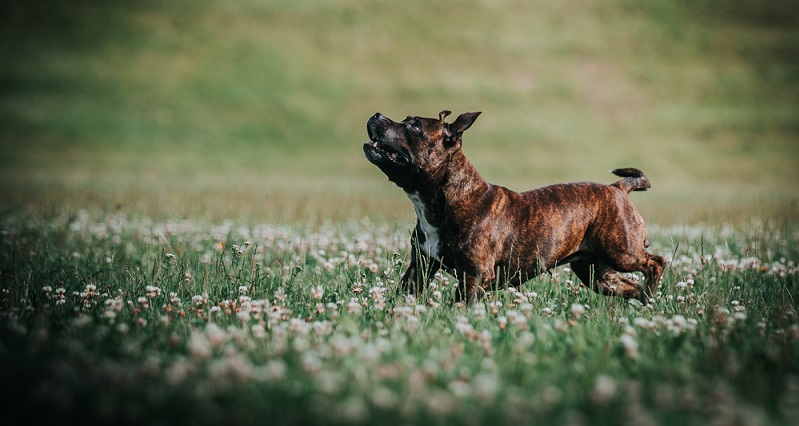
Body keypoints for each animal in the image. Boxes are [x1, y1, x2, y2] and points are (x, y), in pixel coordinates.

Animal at [362, 110, 664, 302]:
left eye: (413, 127)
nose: (376, 115)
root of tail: (617, 189)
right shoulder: (420, 268)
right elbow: (404, 294)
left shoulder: (474, 275)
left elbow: (461, 304)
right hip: (596, 272)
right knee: (630, 287)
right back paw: (643, 304)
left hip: (620, 252)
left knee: (655, 262)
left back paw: (650, 294)